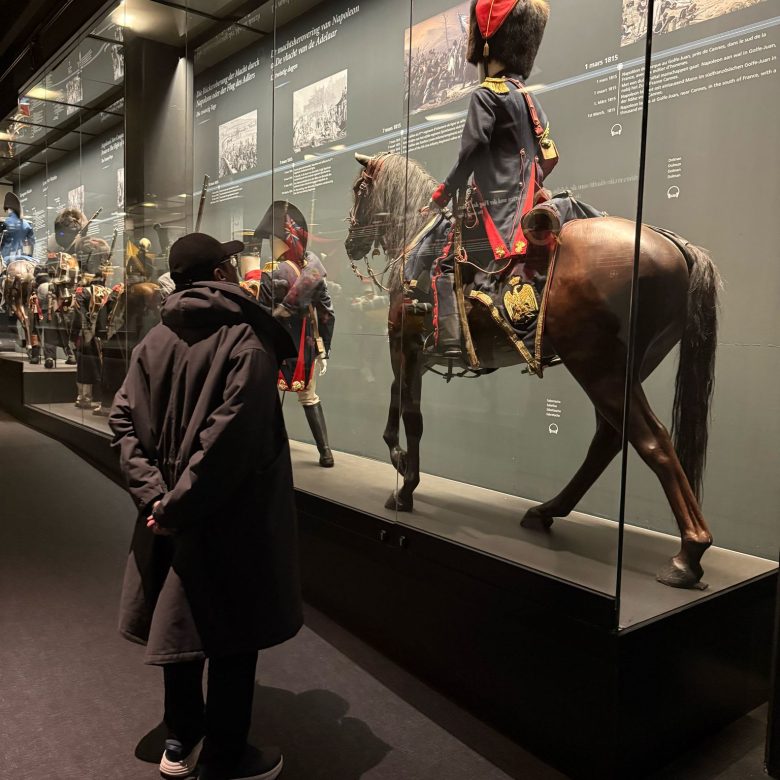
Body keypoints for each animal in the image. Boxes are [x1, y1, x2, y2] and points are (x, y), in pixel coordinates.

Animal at [345, 152, 720, 589]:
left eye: (360, 189)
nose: (350, 242)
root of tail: (671, 243)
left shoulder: (403, 347)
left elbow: (410, 415)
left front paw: (405, 487)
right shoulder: (416, 356)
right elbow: (396, 404)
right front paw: (401, 462)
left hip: (597, 366)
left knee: (652, 440)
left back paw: (688, 555)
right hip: (622, 368)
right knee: (609, 438)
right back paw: (545, 511)